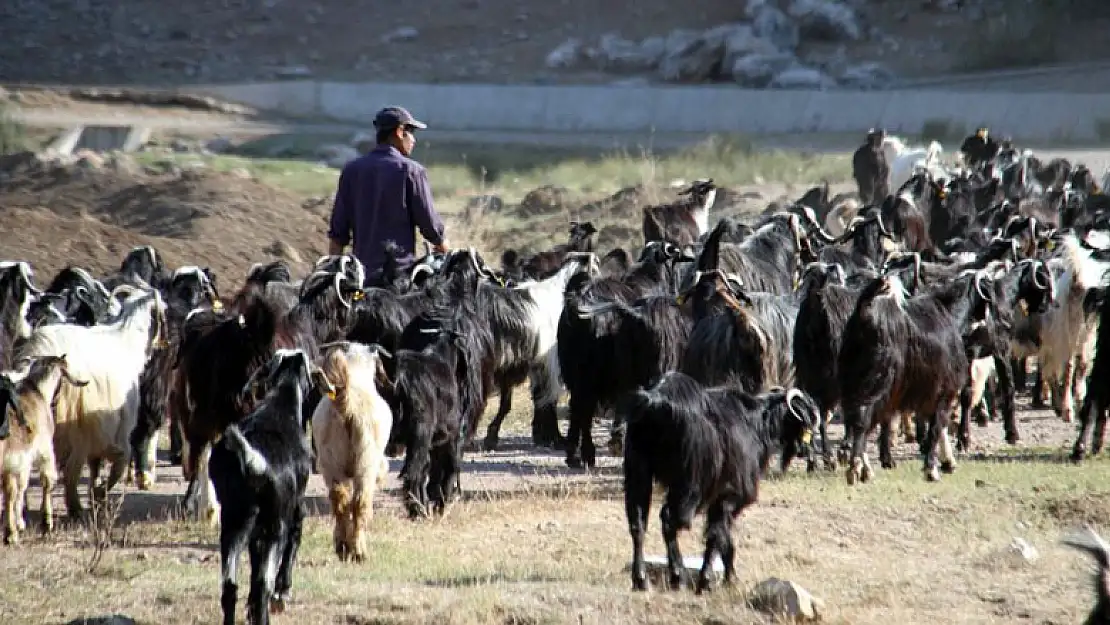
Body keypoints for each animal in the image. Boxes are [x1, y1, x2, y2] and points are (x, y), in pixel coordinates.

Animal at [16, 288, 166, 519]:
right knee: (70, 469)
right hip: (72, 424)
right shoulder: (118, 427)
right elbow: (120, 461)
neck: (127, 341)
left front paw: (96, 492)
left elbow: (96, 464)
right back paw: (74, 507)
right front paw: (98, 494)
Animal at [209, 350, 313, 625]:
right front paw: (283, 592)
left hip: (233, 525)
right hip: (275, 527)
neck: (282, 401)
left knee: (230, 586)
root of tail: (252, 460)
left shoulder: (255, 532)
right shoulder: (293, 511)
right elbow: (294, 541)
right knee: (263, 583)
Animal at [310, 341, 392, 561]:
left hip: (329, 461)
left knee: (339, 499)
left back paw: (342, 546)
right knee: (360, 502)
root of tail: (348, 402)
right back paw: (359, 551)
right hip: (367, 461)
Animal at [621, 375, 821, 595]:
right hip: (690, 487)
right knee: (669, 520)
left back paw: (640, 579)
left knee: (638, 523)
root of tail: (654, 404)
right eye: (807, 415)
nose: (810, 449)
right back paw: (677, 576)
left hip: (638, 472)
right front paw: (710, 580)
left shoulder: (718, 501)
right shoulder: (731, 497)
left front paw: (726, 578)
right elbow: (717, 537)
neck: (756, 424)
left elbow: (722, 539)